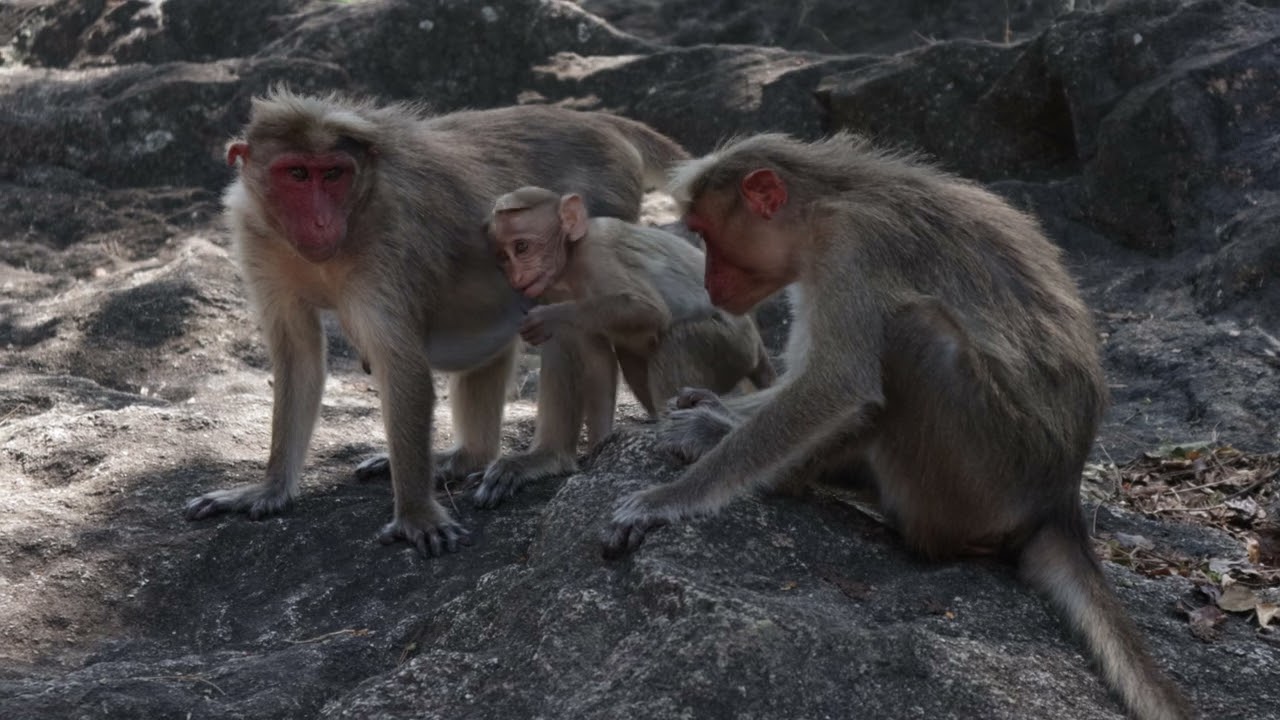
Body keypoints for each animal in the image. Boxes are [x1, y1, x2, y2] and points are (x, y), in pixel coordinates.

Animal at [183, 88, 687, 557]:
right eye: (297, 175)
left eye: (333, 174)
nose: (322, 222)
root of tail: (597, 122)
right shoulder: (256, 235)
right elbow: (298, 354)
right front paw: (268, 489)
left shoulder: (388, 243)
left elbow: (401, 366)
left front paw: (415, 516)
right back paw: (464, 457)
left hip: (591, 218)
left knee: (563, 319)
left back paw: (545, 457)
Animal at [470, 186, 774, 508]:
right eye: (503, 257)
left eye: (522, 247)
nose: (515, 276)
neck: (572, 258)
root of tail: (757, 343)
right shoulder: (551, 289)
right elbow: (594, 353)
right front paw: (593, 450)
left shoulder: (597, 257)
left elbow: (649, 312)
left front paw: (553, 317)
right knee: (619, 352)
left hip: (731, 346)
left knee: (674, 339)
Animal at [600, 134, 1191, 720]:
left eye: (704, 233)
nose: (708, 283)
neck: (825, 201)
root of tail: (1060, 500)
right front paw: (714, 413)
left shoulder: (851, 249)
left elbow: (837, 385)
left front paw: (671, 495)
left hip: (983, 475)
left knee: (917, 331)